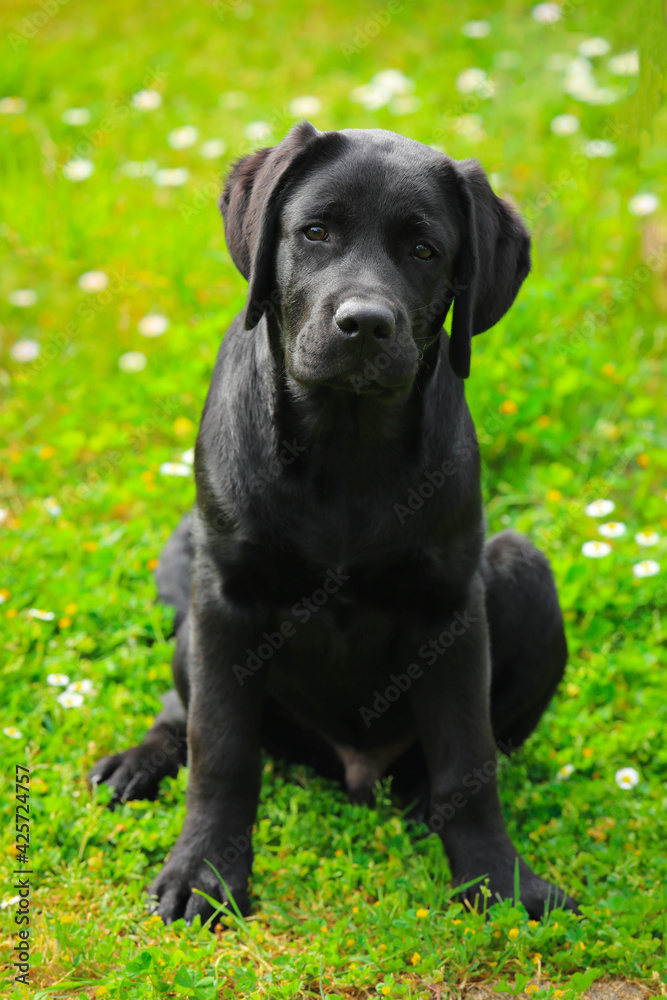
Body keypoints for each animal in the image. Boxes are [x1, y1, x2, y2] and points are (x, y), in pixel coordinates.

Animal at [91, 123, 576, 920]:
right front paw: (205, 871)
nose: (364, 324)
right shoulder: (227, 599)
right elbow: (222, 749)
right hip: (197, 607)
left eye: (424, 250)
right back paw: (142, 759)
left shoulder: (450, 606)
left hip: (522, 568)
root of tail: (352, 771)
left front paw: (497, 878)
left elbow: (468, 760)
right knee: (182, 710)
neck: (344, 446)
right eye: (315, 232)